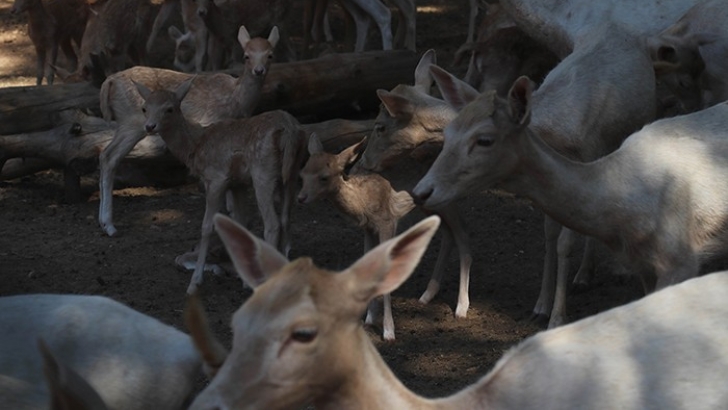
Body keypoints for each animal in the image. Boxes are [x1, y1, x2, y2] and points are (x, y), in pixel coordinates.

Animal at [96, 25, 278, 237]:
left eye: (270, 54)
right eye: (246, 55)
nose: (259, 70)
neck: (236, 100)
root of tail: (108, 82)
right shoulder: (211, 123)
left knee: (104, 154)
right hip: (132, 122)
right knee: (110, 157)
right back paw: (109, 225)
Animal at [136, 78, 308, 294]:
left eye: (169, 108)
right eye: (144, 108)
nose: (150, 126)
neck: (196, 146)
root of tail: (291, 130)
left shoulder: (216, 178)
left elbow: (207, 226)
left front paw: (195, 283)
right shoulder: (238, 183)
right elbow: (241, 222)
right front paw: (242, 278)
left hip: (263, 171)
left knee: (272, 223)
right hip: (292, 171)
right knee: (286, 217)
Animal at [298, 135, 416, 340]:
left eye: (324, 177)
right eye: (302, 174)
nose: (300, 197)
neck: (363, 207)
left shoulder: (387, 222)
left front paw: (389, 332)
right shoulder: (368, 229)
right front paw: (368, 319)